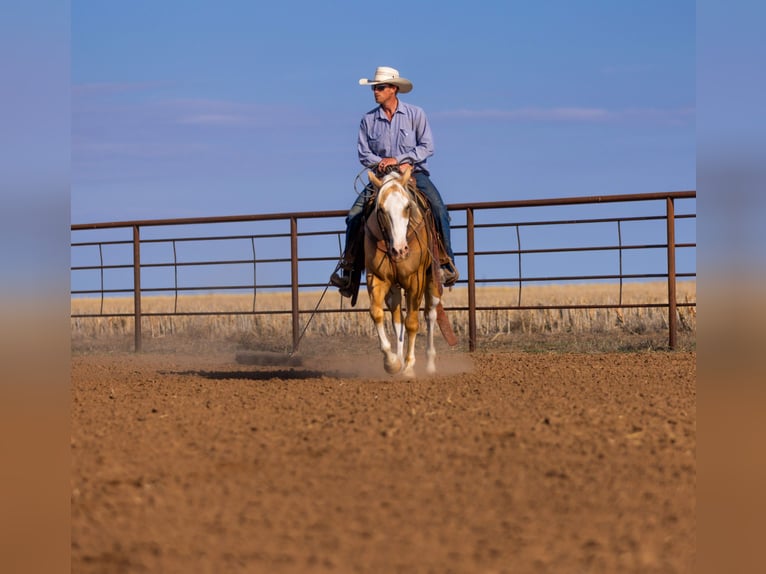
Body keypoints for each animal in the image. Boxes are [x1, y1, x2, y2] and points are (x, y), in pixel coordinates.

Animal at [364, 165, 448, 377]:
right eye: (381, 209)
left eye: (407, 207)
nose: (400, 250)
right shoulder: (376, 278)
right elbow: (377, 313)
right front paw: (392, 362)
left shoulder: (415, 280)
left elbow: (412, 322)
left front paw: (409, 367)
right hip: (394, 288)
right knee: (397, 321)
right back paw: (400, 359)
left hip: (432, 281)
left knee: (430, 314)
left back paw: (430, 364)